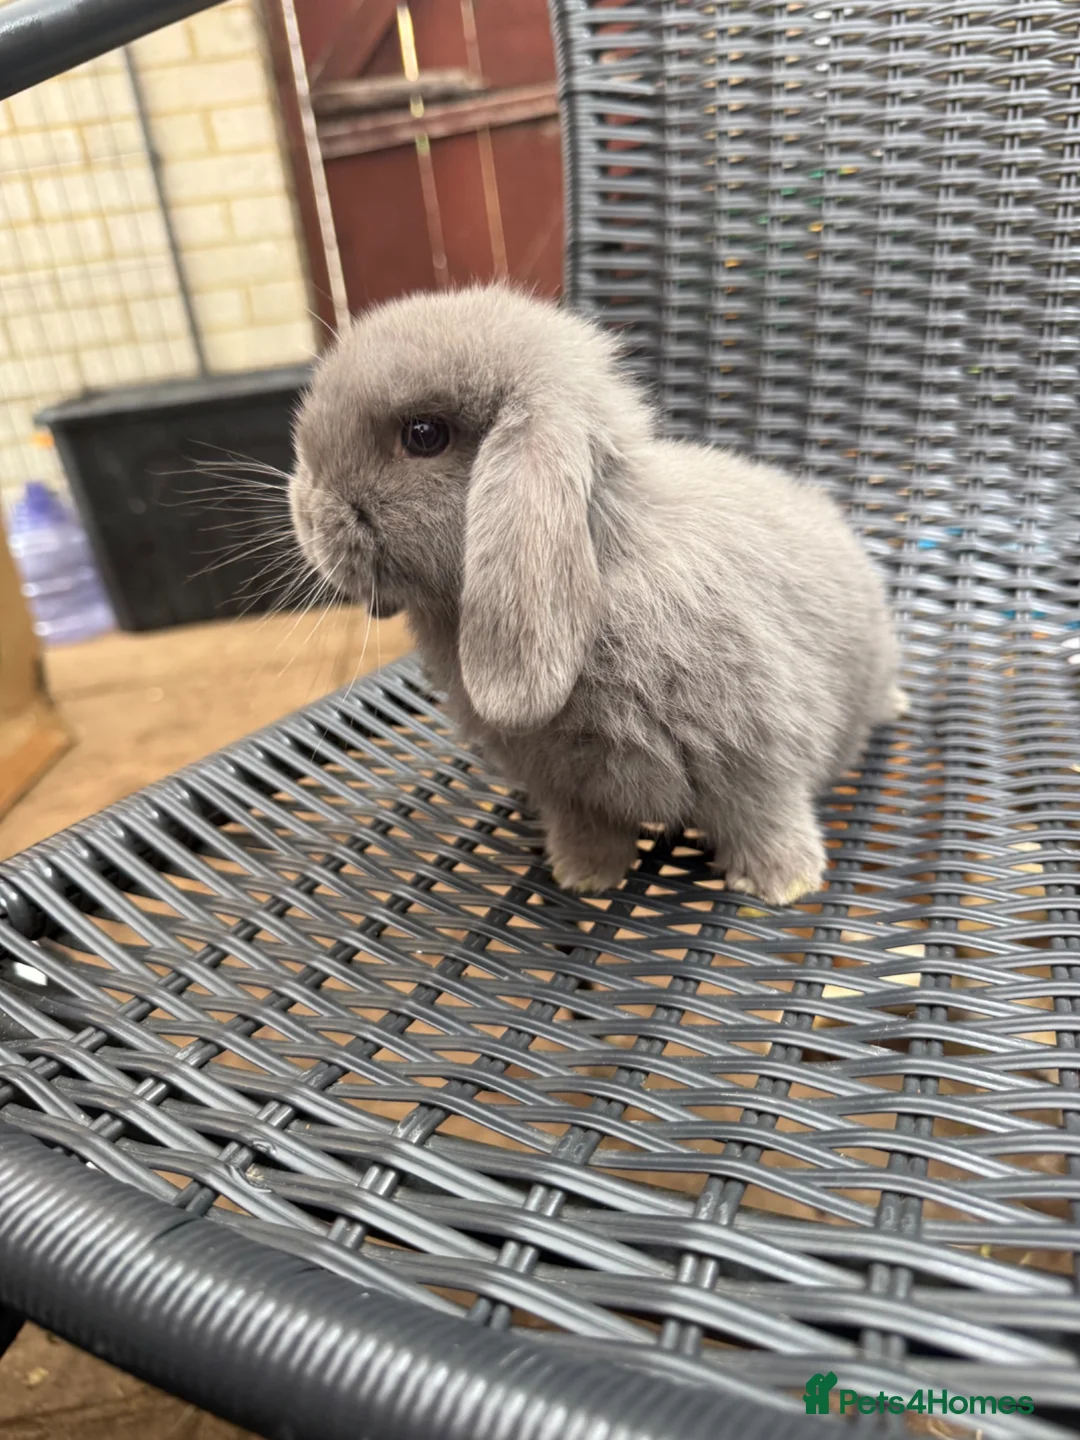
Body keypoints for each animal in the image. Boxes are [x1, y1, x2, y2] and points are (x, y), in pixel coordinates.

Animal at [289, 283, 904, 906]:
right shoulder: (568, 788)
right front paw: (583, 878)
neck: (601, 562)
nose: (307, 513)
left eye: (423, 435)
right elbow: (587, 827)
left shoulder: (757, 755)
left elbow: (763, 815)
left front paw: (783, 884)